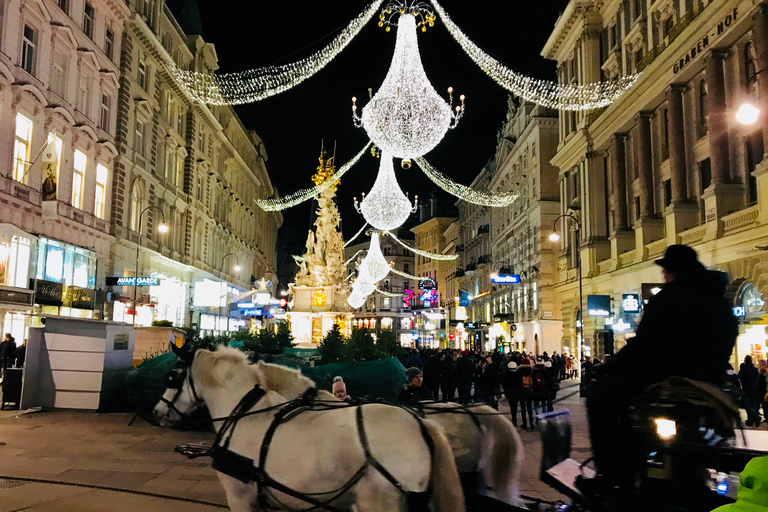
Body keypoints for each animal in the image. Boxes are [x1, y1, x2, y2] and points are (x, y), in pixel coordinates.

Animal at [150, 348, 462, 512]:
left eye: (172, 376)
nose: (156, 412)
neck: (245, 412)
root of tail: (422, 423)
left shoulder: (240, 496)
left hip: (380, 501)